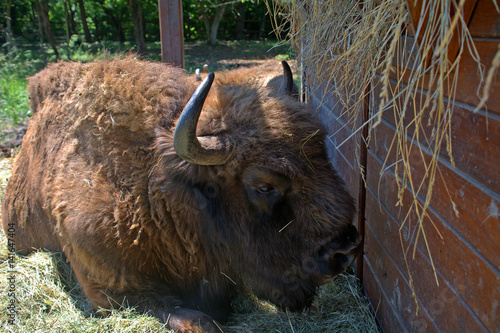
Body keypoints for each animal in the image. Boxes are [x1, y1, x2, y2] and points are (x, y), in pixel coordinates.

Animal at [0, 55, 360, 330]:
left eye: (323, 154)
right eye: (264, 186)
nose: (344, 250)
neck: (155, 191)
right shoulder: (113, 290)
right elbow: (200, 321)